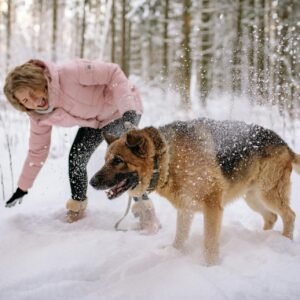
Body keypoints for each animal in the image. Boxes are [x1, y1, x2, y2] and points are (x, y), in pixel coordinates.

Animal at [89, 119, 300, 264]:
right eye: (106, 160)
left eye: (118, 160)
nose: (91, 182)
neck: (167, 159)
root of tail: (285, 144)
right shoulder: (185, 208)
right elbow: (180, 237)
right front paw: (173, 253)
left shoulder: (212, 207)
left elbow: (209, 243)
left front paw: (210, 266)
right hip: (253, 198)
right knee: (272, 217)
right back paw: (263, 239)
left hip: (267, 193)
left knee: (289, 215)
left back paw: (284, 240)